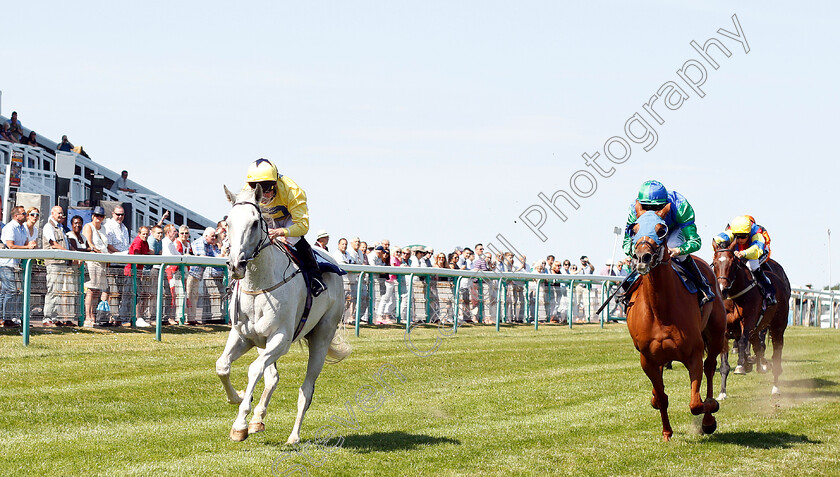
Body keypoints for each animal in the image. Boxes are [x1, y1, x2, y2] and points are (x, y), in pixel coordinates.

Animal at [217, 183, 352, 442]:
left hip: (321, 336)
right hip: (261, 342)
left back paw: (294, 435)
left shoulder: (281, 338)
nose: (236, 264)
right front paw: (239, 396)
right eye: (228, 222)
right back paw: (258, 419)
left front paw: (240, 424)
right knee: (272, 377)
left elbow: (254, 369)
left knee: (306, 389)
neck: (259, 286)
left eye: (255, 223)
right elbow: (222, 366)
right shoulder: (243, 335)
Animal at [624, 209, 728, 442]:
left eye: (661, 229)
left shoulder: (693, 354)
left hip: (716, 334)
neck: (661, 311)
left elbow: (695, 403)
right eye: (634, 229)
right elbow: (662, 397)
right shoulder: (647, 359)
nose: (642, 257)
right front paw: (666, 432)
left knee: (710, 367)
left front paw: (711, 408)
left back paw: (709, 419)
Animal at [712, 244, 792, 396]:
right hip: (758, 328)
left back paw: (775, 387)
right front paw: (722, 393)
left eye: (732, 263)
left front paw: (740, 366)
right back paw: (760, 366)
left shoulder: (748, 321)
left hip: (777, 326)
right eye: (715, 263)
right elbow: (724, 363)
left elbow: (743, 341)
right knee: (758, 346)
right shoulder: (726, 329)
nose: (722, 290)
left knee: (776, 352)